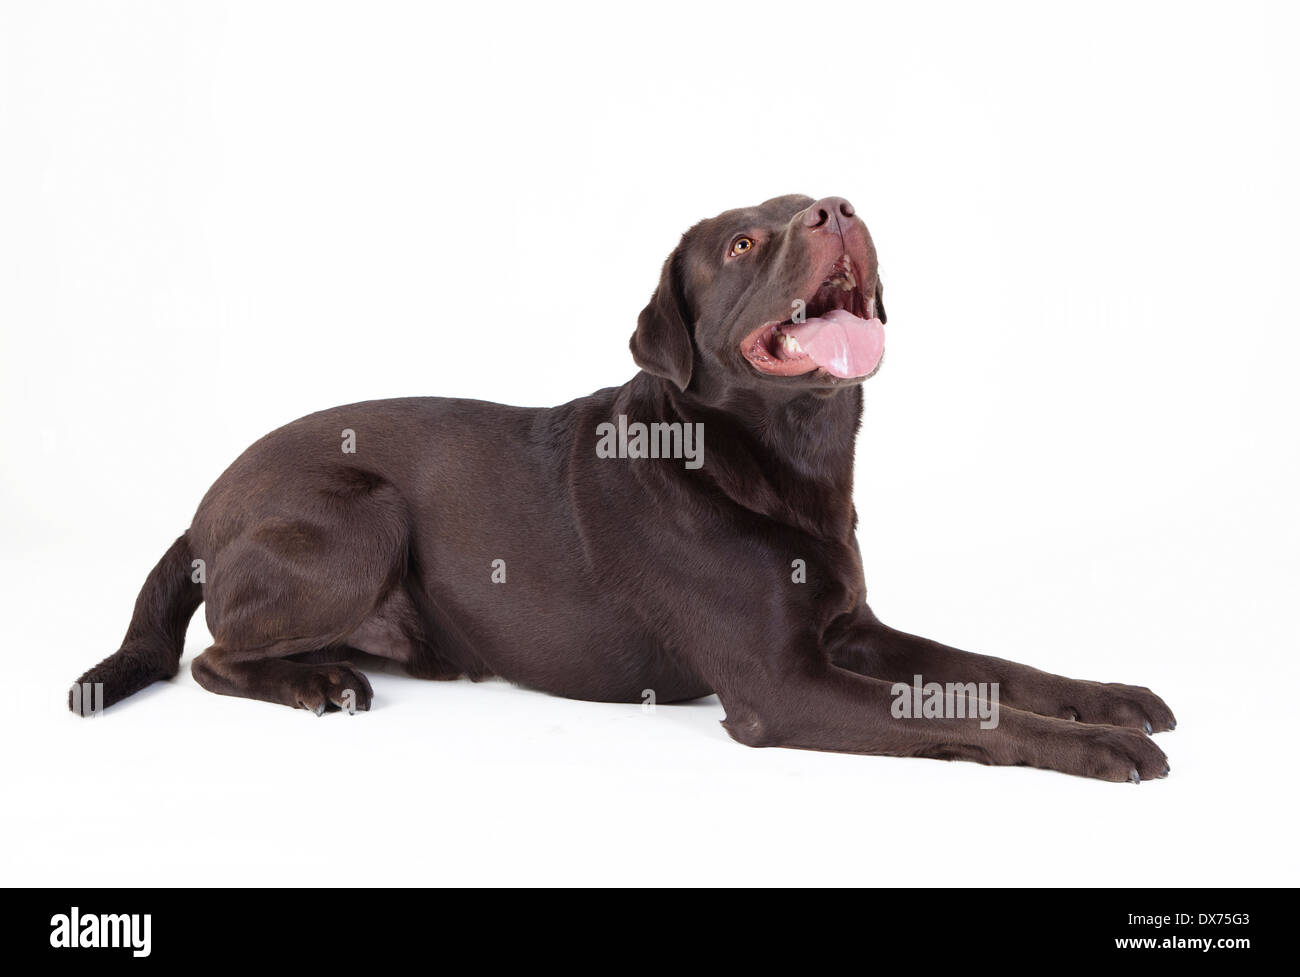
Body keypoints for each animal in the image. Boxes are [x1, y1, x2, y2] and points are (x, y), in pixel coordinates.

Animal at [71, 194, 1175, 784]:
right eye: (743, 243)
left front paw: (1110, 700)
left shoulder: (850, 628)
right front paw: (1101, 746)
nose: (838, 207)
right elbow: (966, 710)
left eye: (816, 204)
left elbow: (985, 668)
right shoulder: (783, 686)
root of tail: (198, 511)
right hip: (360, 513)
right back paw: (317, 682)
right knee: (210, 654)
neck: (779, 463)